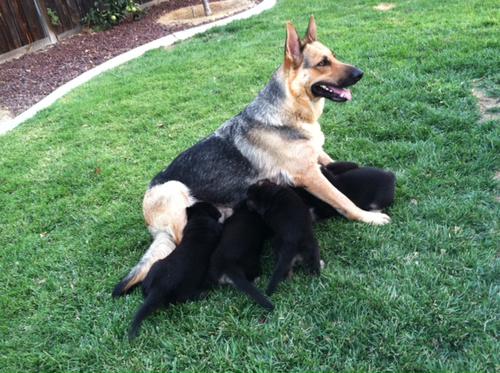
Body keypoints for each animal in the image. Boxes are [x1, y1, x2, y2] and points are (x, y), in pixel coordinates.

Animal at [113, 16, 390, 296]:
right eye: (323, 63)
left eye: (333, 56)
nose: (360, 73)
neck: (289, 110)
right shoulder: (310, 175)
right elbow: (343, 199)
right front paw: (368, 217)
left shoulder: (319, 159)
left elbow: (335, 166)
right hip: (174, 190)